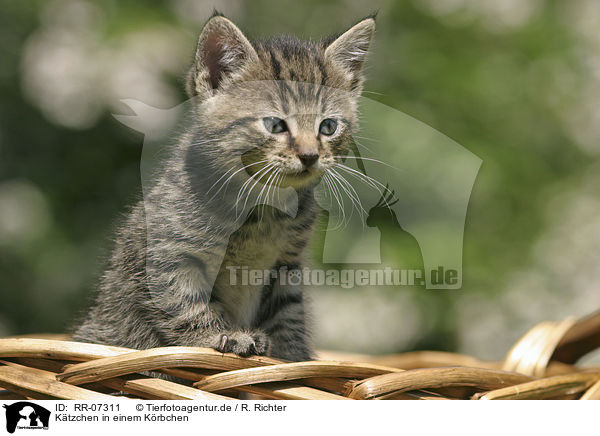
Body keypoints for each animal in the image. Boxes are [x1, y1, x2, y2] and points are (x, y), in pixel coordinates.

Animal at [74, 13, 376, 362]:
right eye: (275, 124)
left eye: (328, 127)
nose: (310, 155)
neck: (264, 206)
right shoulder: (168, 253)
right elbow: (184, 303)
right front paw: (222, 336)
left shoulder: (287, 265)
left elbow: (289, 317)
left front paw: (294, 359)